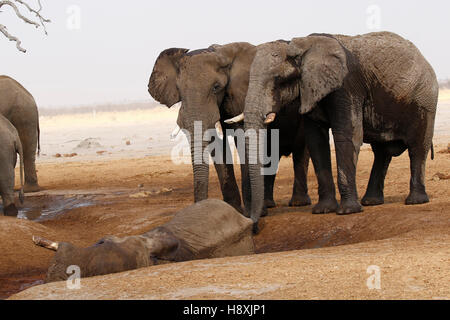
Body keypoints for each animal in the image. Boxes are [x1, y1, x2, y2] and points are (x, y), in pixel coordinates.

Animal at [241, 31, 438, 229]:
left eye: (279, 79)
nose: (255, 222)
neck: (301, 46)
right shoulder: (311, 92)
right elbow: (316, 142)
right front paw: (324, 210)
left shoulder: (346, 87)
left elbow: (347, 136)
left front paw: (348, 211)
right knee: (382, 153)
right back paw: (371, 202)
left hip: (425, 101)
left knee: (417, 149)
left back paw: (415, 201)